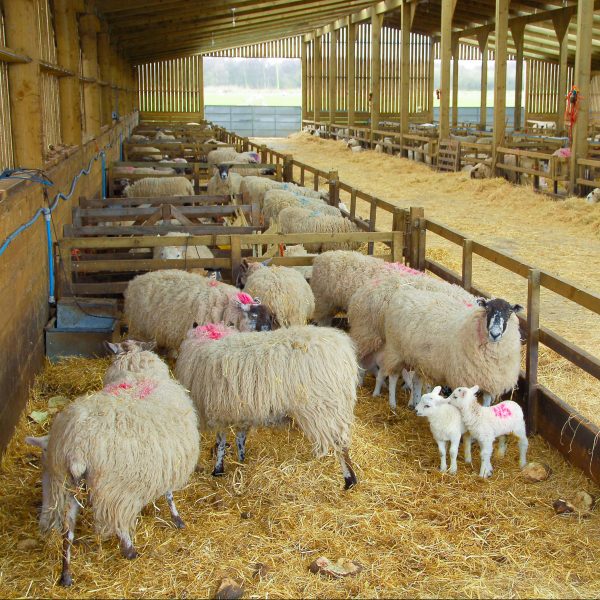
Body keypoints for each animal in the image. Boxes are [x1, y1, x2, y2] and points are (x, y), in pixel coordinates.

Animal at [126, 268, 276, 352]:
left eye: (270, 316)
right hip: (138, 329)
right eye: (254, 316)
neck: (225, 307)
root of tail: (136, 279)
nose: (267, 329)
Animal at [176, 324, 358, 488]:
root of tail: (343, 351)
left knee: (340, 445)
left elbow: (221, 442)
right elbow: (240, 438)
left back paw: (349, 480)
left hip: (323, 407)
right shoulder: (243, 411)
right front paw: (242, 461)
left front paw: (218, 470)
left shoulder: (219, 413)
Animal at [378, 288, 524, 410]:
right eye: (487, 309)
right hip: (395, 350)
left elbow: (487, 405)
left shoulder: (490, 382)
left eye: (509, 312)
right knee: (393, 376)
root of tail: (403, 292)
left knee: (416, 380)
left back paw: (416, 403)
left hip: (420, 360)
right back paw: (392, 404)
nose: (495, 334)